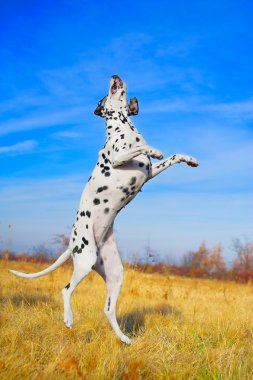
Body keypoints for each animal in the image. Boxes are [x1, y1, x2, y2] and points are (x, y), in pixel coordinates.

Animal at [8, 74, 199, 344]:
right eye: (104, 95)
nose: (114, 75)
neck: (125, 128)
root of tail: (72, 243)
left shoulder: (150, 172)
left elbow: (173, 157)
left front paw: (190, 159)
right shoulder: (119, 157)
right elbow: (142, 148)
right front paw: (154, 149)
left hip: (115, 274)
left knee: (108, 309)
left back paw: (124, 339)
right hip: (85, 260)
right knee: (65, 290)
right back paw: (68, 319)